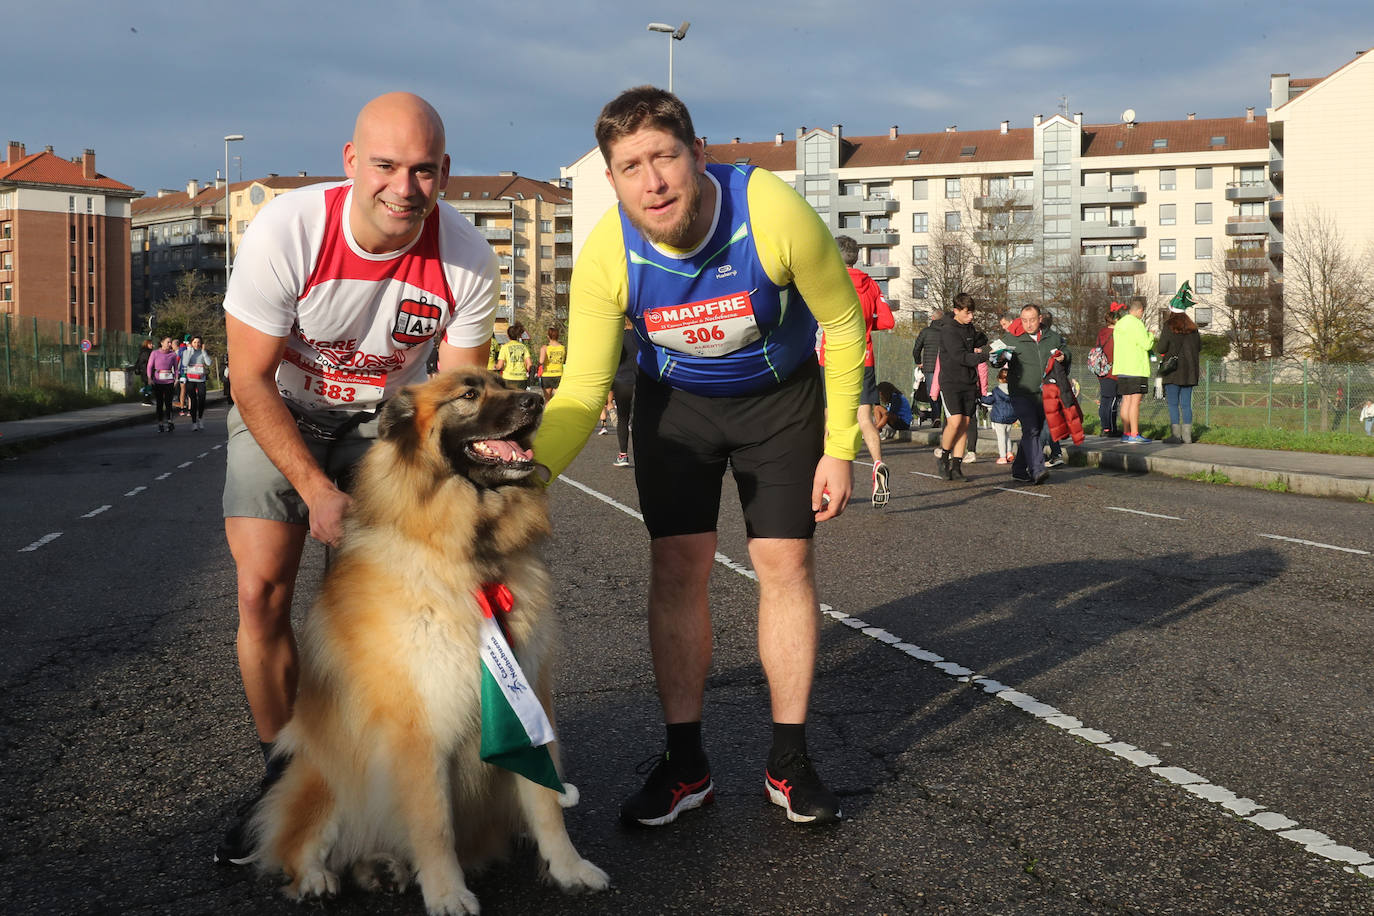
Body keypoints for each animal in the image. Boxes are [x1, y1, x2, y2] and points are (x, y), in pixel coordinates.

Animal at [248, 370, 612, 916]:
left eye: (503, 382)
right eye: (469, 395)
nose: (534, 399)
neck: (469, 555)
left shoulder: (531, 705)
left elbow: (546, 804)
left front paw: (569, 869)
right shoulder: (417, 727)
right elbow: (432, 821)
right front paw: (446, 892)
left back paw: (384, 868)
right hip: (328, 776)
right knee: (297, 842)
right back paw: (318, 878)